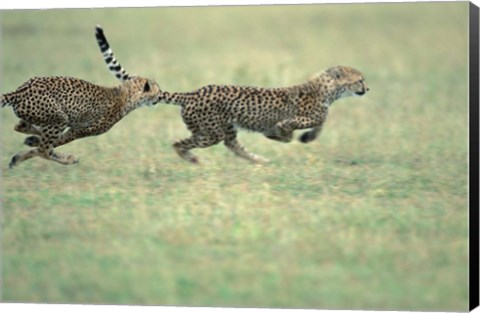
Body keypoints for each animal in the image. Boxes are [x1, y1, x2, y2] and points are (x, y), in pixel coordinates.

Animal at [0, 75, 161, 168]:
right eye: (157, 91)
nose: (160, 97)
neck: (126, 94)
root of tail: (19, 92)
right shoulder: (80, 130)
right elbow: (58, 142)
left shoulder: (76, 129)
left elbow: (52, 141)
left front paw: (30, 142)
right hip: (60, 119)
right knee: (44, 150)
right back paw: (67, 159)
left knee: (21, 127)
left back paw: (29, 140)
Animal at [95, 24, 370, 163]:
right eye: (360, 79)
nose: (368, 88)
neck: (327, 90)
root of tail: (194, 92)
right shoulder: (299, 116)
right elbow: (300, 124)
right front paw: (285, 135)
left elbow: (319, 123)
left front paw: (305, 138)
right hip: (210, 132)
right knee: (179, 143)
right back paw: (192, 159)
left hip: (224, 128)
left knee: (233, 145)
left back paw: (259, 160)